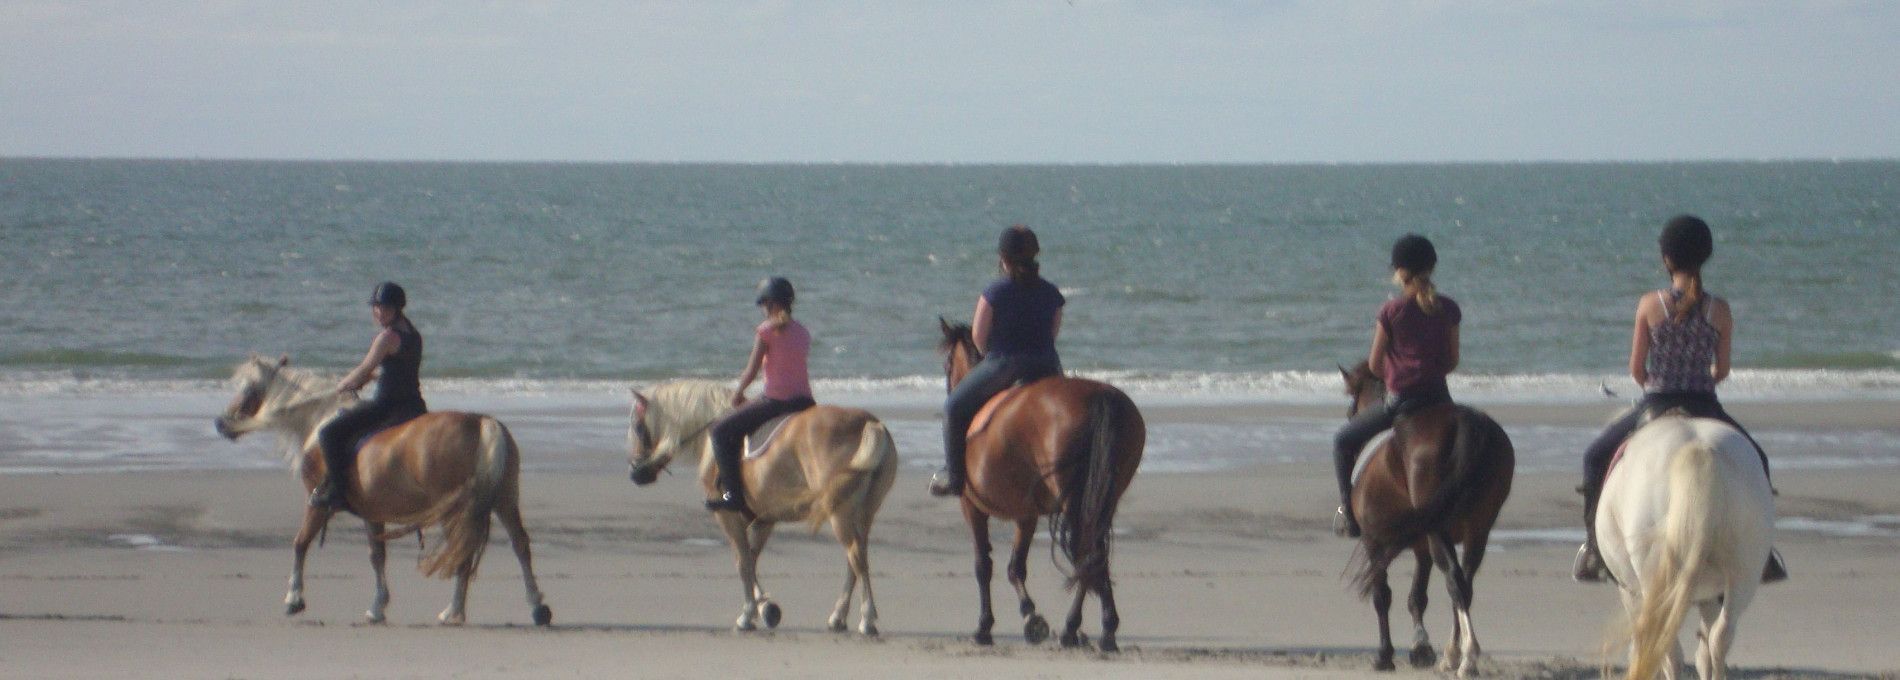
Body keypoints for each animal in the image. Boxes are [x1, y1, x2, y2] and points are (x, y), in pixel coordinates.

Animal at [213, 355, 551, 626]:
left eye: (249, 388)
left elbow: (300, 543)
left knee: (465, 553)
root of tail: (481, 423)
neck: (320, 419)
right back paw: (536, 608)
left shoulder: (317, 504)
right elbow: (377, 556)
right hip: (504, 501)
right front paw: (377, 607)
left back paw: (452, 612)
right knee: (519, 545)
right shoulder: (371, 513)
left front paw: (294, 599)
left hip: (456, 509)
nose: (220, 423)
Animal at [619, 379, 893, 634]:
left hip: (840, 512)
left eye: (638, 426)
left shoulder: (727, 515)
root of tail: (869, 423)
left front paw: (749, 613)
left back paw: (867, 618)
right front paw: (766, 608)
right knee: (856, 559)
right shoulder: (764, 519)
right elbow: (751, 558)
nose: (634, 473)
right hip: (862, 514)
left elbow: (742, 562)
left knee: (856, 558)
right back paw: (839, 616)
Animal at [934, 321, 1140, 649]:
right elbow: (1015, 566)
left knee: (1087, 554)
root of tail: (1099, 396)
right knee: (1096, 555)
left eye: (947, 364)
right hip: (1104, 498)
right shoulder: (1026, 514)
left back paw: (1072, 628)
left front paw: (985, 627)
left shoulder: (972, 506)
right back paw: (1104, 631)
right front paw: (1030, 616)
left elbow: (983, 565)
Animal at [1337, 360, 1512, 676]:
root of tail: (1465, 423)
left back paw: (1465, 657)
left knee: (1455, 580)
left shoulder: (1373, 541)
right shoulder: (1422, 546)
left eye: (1351, 407)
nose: (1349, 416)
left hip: (1438, 531)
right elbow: (1417, 597)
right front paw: (1421, 648)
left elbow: (1382, 596)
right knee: (1464, 583)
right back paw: (1456, 654)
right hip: (1477, 529)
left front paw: (1384, 655)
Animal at [1603, 414, 1778, 680]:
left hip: (1653, 577)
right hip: (1744, 572)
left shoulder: (1630, 592)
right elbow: (1704, 652)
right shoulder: (1711, 596)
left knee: (1668, 646)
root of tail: (1699, 450)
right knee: (1720, 636)